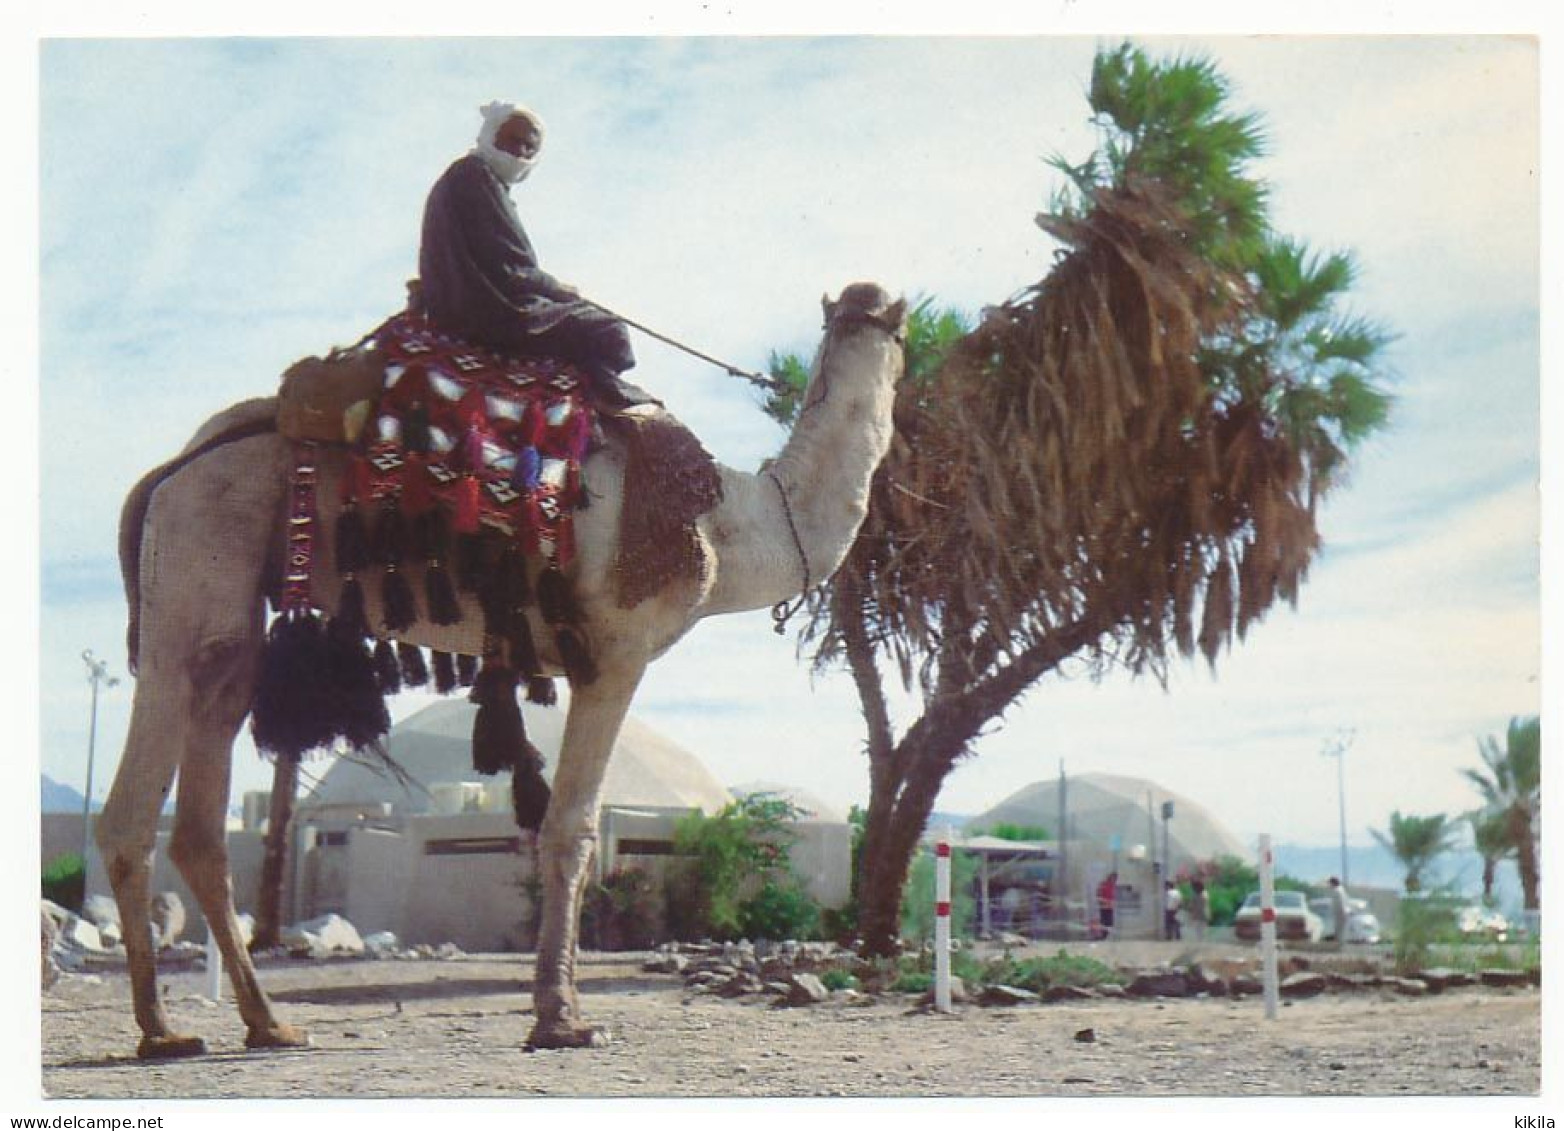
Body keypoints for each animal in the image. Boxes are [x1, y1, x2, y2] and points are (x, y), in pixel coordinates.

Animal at [94, 281, 907, 1051]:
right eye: (900, 328)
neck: (730, 523)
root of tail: (168, 471)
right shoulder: (618, 649)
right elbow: (571, 829)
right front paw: (562, 1018)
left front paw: (557, 1010)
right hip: (193, 571)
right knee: (132, 808)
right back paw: (162, 1030)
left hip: (230, 619)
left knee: (200, 820)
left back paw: (267, 1023)